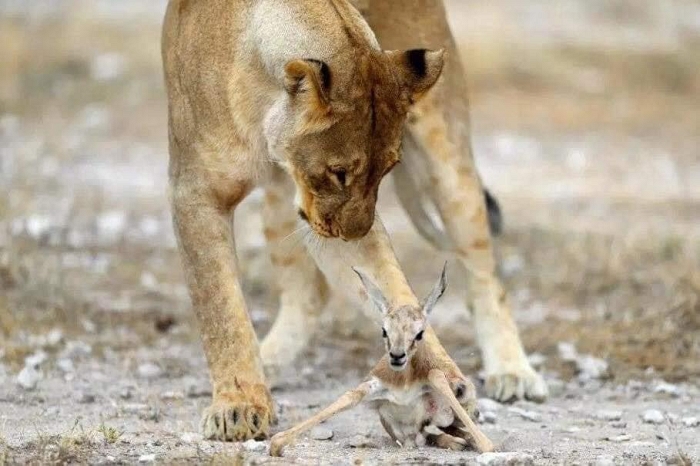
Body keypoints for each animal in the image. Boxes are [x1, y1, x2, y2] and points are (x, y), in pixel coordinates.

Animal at [162, 0, 548, 441]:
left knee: (485, 276)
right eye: (339, 172)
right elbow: (220, 308)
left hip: (448, 162)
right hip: (280, 205)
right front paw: (239, 405)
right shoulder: (195, 192)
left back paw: (513, 371)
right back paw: (268, 361)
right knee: (307, 294)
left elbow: (395, 290)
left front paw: (443, 383)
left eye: (387, 169)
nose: (354, 233)